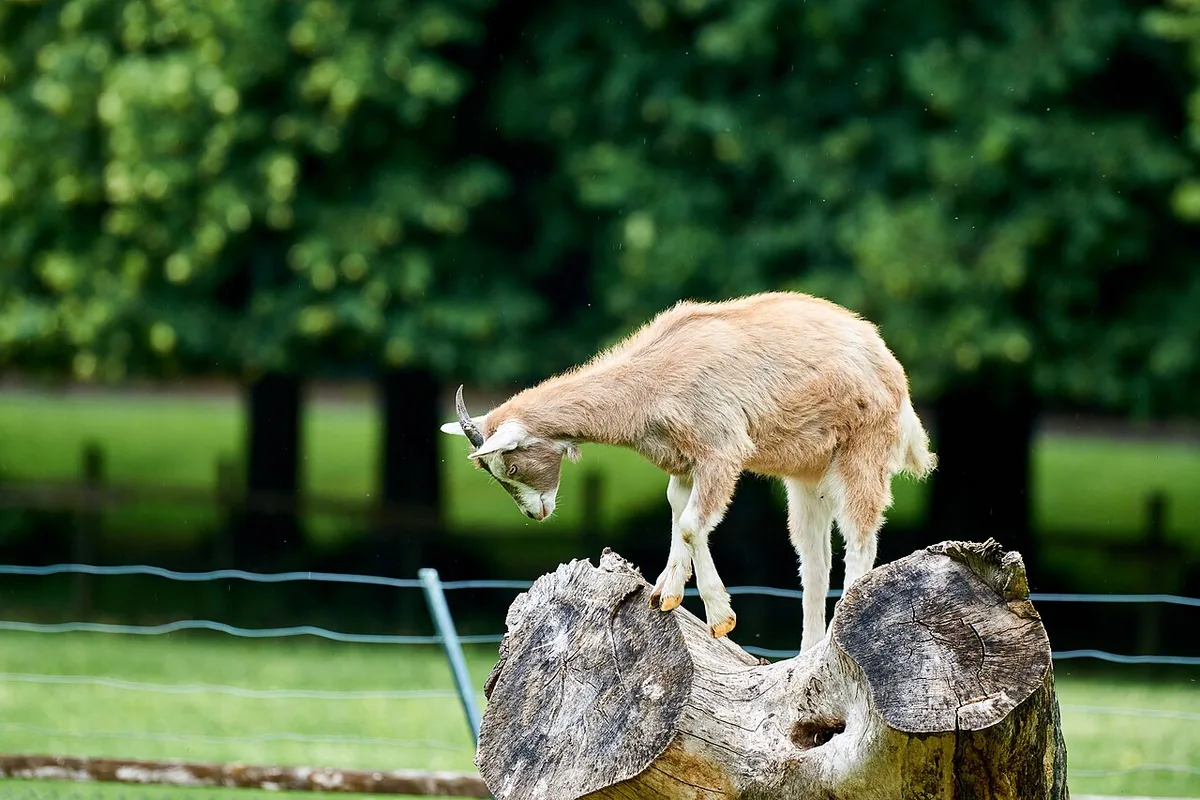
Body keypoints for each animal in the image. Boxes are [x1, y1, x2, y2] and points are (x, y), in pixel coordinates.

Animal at [440, 291, 936, 652]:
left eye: (511, 463)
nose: (535, 514)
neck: (652, 379)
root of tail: (893, 370)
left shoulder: (722, 450)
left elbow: (693, 524)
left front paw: (708, 613)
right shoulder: (683, 464)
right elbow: (679, 513)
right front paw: (674, 595)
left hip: (863, 449)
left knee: (860, 533)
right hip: (806, 474)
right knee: (813, 557)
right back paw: (809, 651)